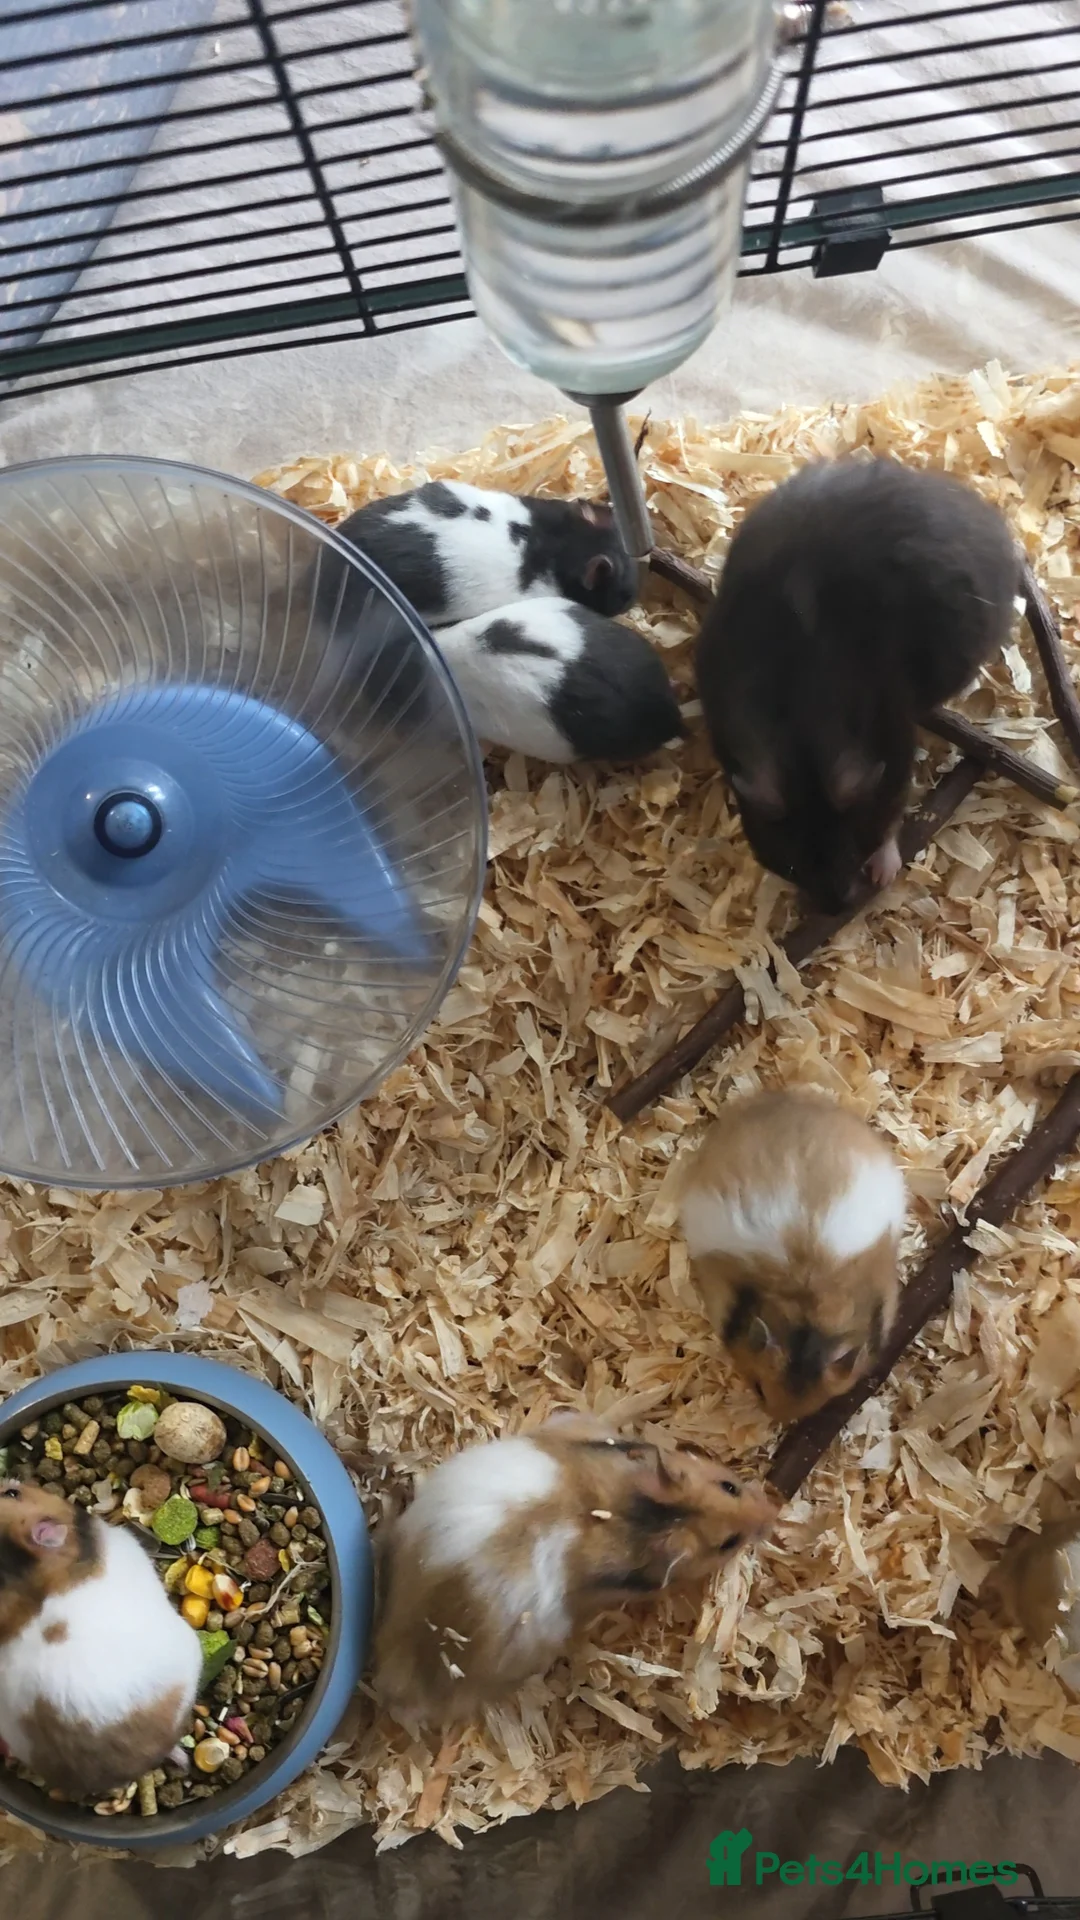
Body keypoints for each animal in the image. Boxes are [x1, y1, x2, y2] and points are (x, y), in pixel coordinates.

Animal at [695, 459, 1021, 913]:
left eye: (852, 852)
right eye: (792, 865)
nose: (836, 909)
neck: (795, 724)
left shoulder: (895, 739)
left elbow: (894, 809)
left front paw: (883, 871)